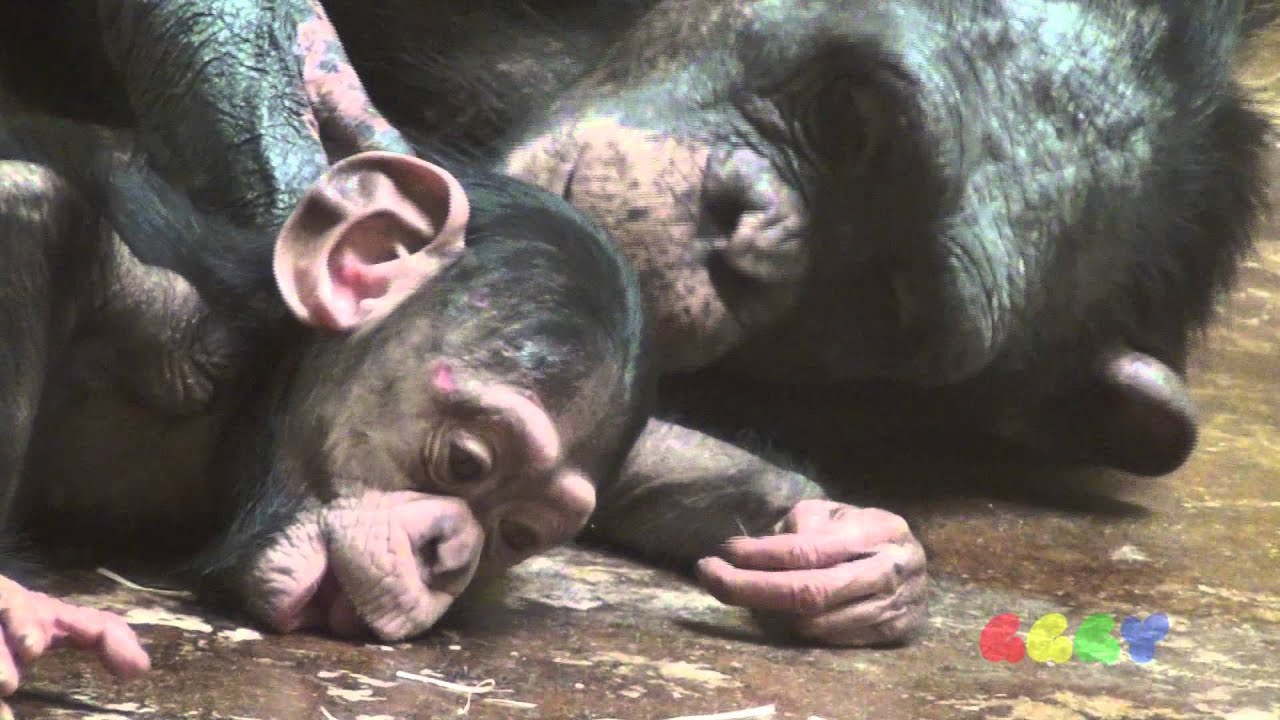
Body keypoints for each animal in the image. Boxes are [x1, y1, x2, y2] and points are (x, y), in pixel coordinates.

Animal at [0, 114, 651, 695]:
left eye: (515, 533)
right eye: (467, 461)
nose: (450, 557)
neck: (243, 409)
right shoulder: (172, 326)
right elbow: (31, 209)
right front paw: (17, 607)